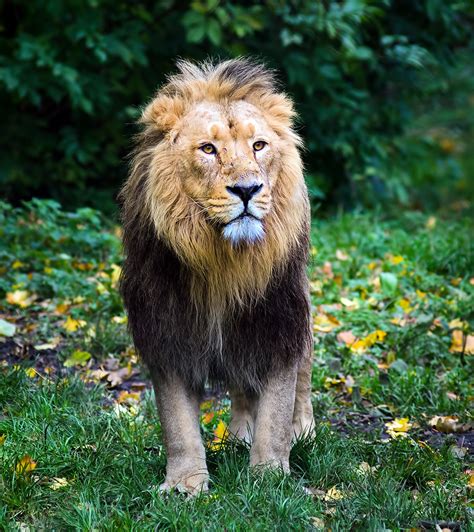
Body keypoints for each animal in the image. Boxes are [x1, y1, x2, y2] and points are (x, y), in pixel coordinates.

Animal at [120, 58, 314, 494]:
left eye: (259, 146)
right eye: (208, 149)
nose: (247, 189)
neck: (224, 263)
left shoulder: (278, 319)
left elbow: (276, 411)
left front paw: (270, 480)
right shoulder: (167, 329)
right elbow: (177, 422)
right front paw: (185, 485)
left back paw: (303, 433)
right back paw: (239, 435)